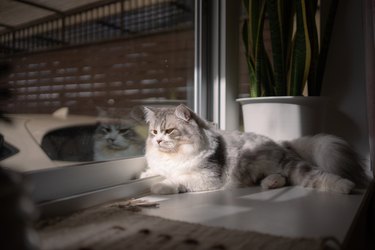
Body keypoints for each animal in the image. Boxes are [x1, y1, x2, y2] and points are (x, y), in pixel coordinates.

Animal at [140, 103, 372, 195]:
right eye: (154, 132)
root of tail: (280, 143)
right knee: (281, 177)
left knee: (315, 177)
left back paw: (346, 186)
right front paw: (147, 176)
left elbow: (177, 179)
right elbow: (154, 172)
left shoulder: (207, 177)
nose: (158, 141)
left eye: (169, 131)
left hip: (290, 166)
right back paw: (269, 183)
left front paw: (160, 187)